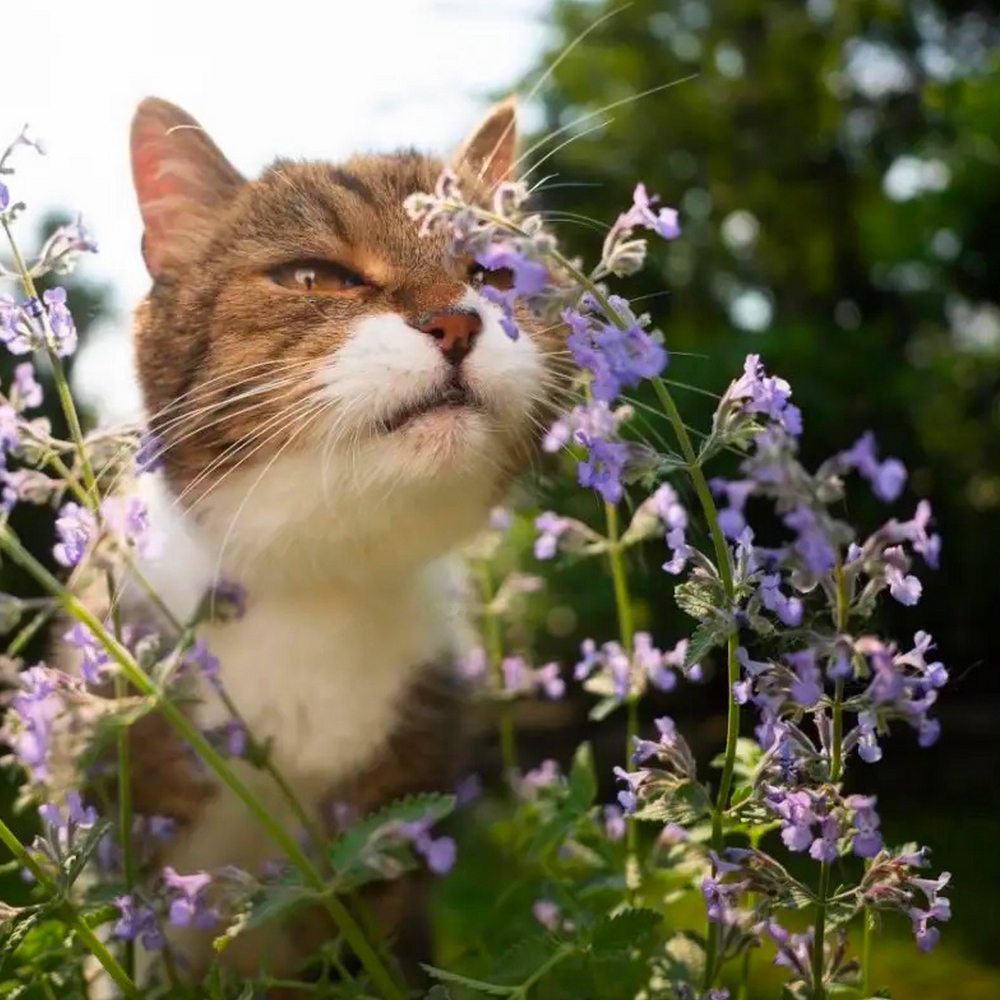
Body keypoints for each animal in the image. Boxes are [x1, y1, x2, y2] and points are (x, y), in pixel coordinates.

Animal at [58, 95, 568, 992]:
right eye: (312, 278)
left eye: (493, 273)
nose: (456, 320)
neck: (319, 584)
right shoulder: (134, 803)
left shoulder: (394, 820)